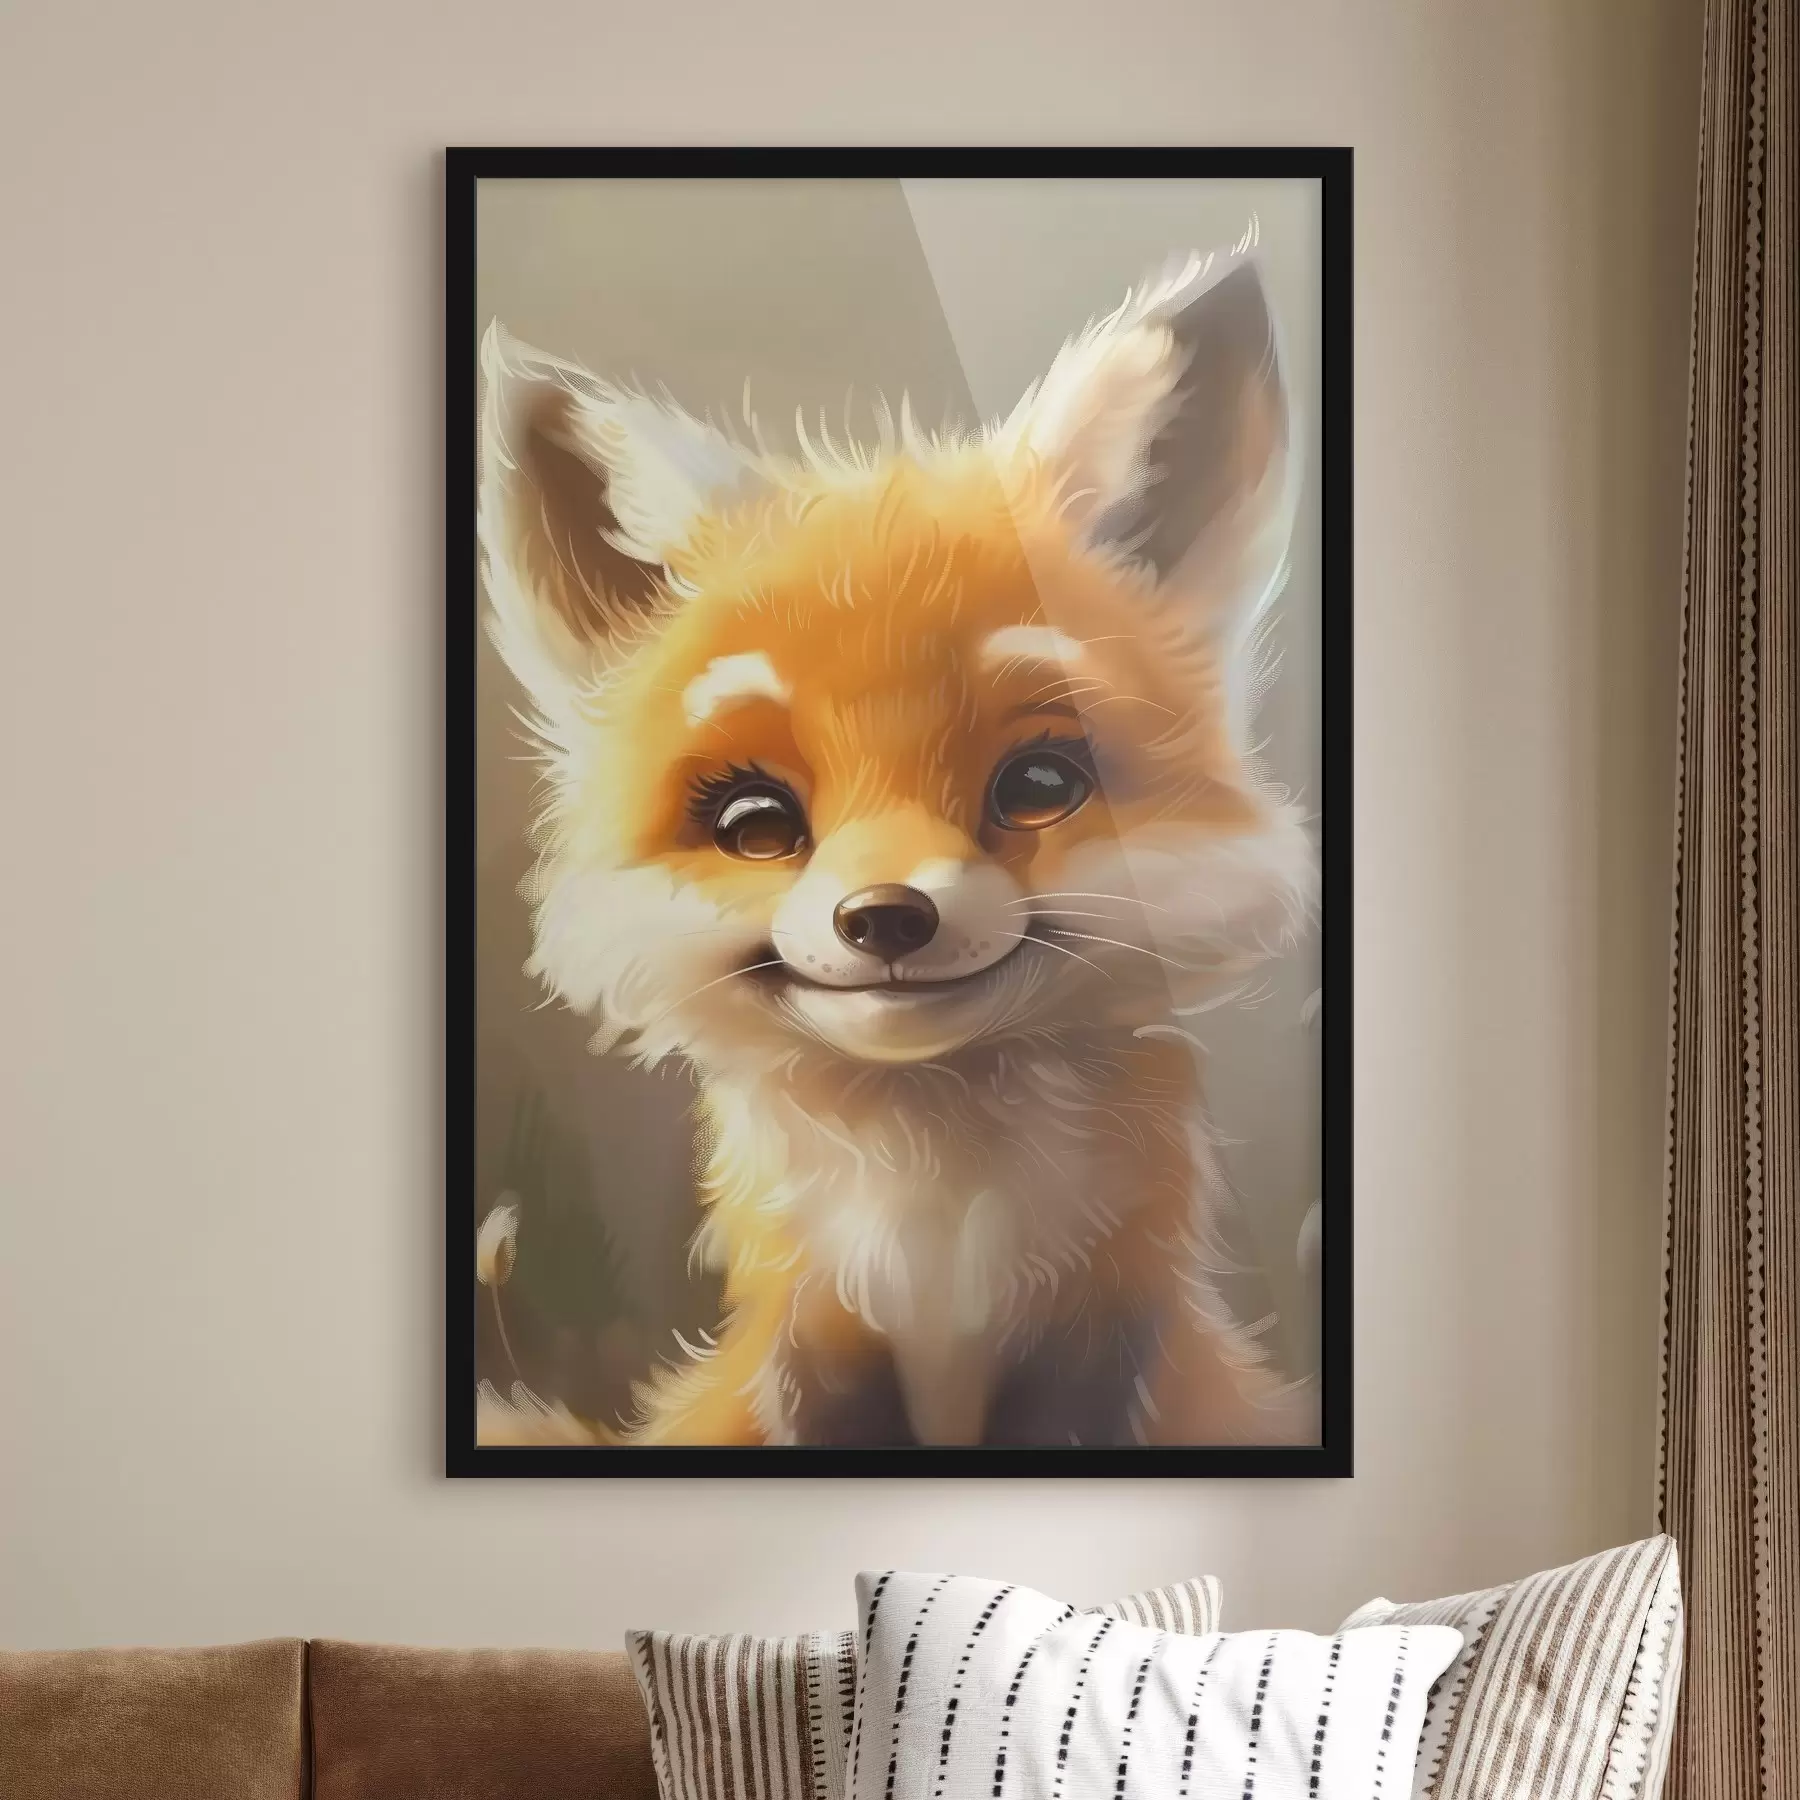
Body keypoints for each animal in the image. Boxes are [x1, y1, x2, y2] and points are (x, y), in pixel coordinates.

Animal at [475, 241, 1317, 1450]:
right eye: (755, 822)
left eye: (1042, 785)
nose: (885, 918)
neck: (939, 1241)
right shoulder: (813, 1351)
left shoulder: (1100, 1343)